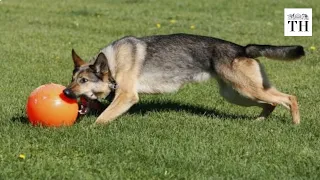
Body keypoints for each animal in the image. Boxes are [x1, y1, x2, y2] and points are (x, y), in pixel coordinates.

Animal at [63, 33, 304, 124]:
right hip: (237, 94)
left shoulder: (127, 97)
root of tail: (242, 49)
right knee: (272, 103)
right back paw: (258, 121)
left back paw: (295, 125)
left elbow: (102, 118)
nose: (65, 92)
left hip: (246, 90)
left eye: (84, 81)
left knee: (289, 98)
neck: (113, 66)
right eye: (72, 78)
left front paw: (88, 130)